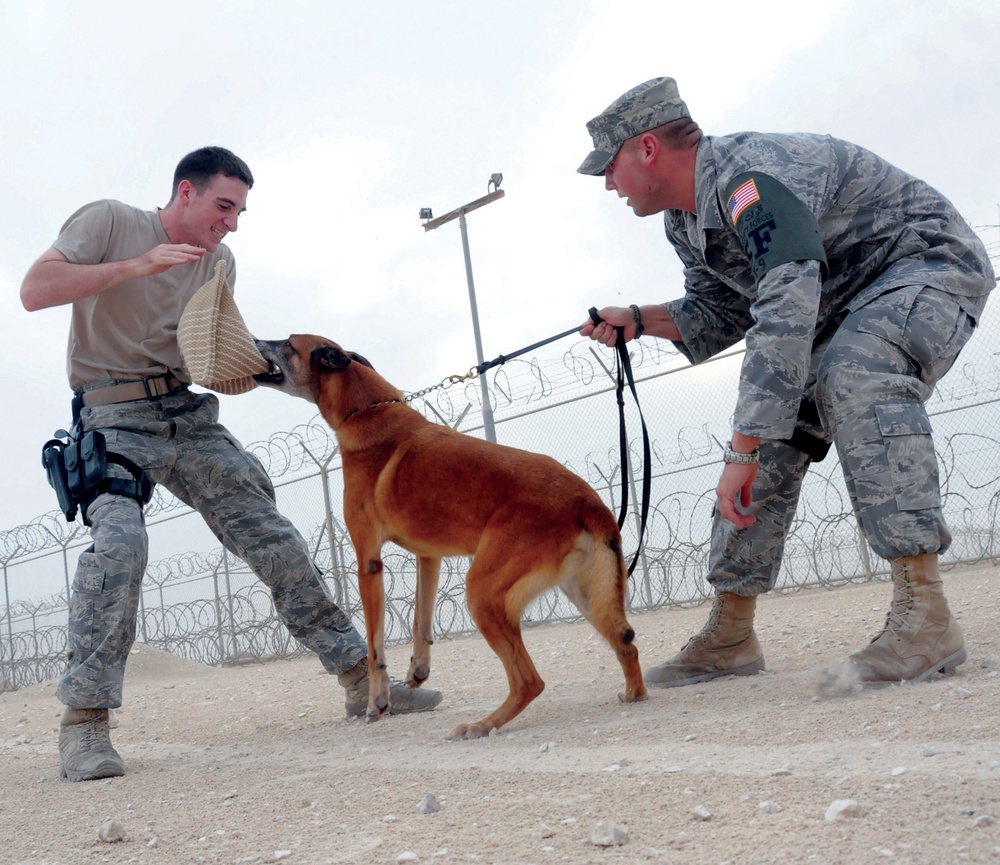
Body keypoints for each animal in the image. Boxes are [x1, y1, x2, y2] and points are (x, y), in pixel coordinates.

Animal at [254, 334, 644, 740]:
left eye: (288, 342)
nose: (255, 339)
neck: (365, 411)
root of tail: (586, 500)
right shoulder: (429, 557)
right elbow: (419, 620)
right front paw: (417, 670)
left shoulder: (368, 561)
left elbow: (376, 647)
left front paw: (378, 702)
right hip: (583, 593)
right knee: (626, 644)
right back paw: (633, 693)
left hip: (483, 592)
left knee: (530, 681)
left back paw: (482, 725)